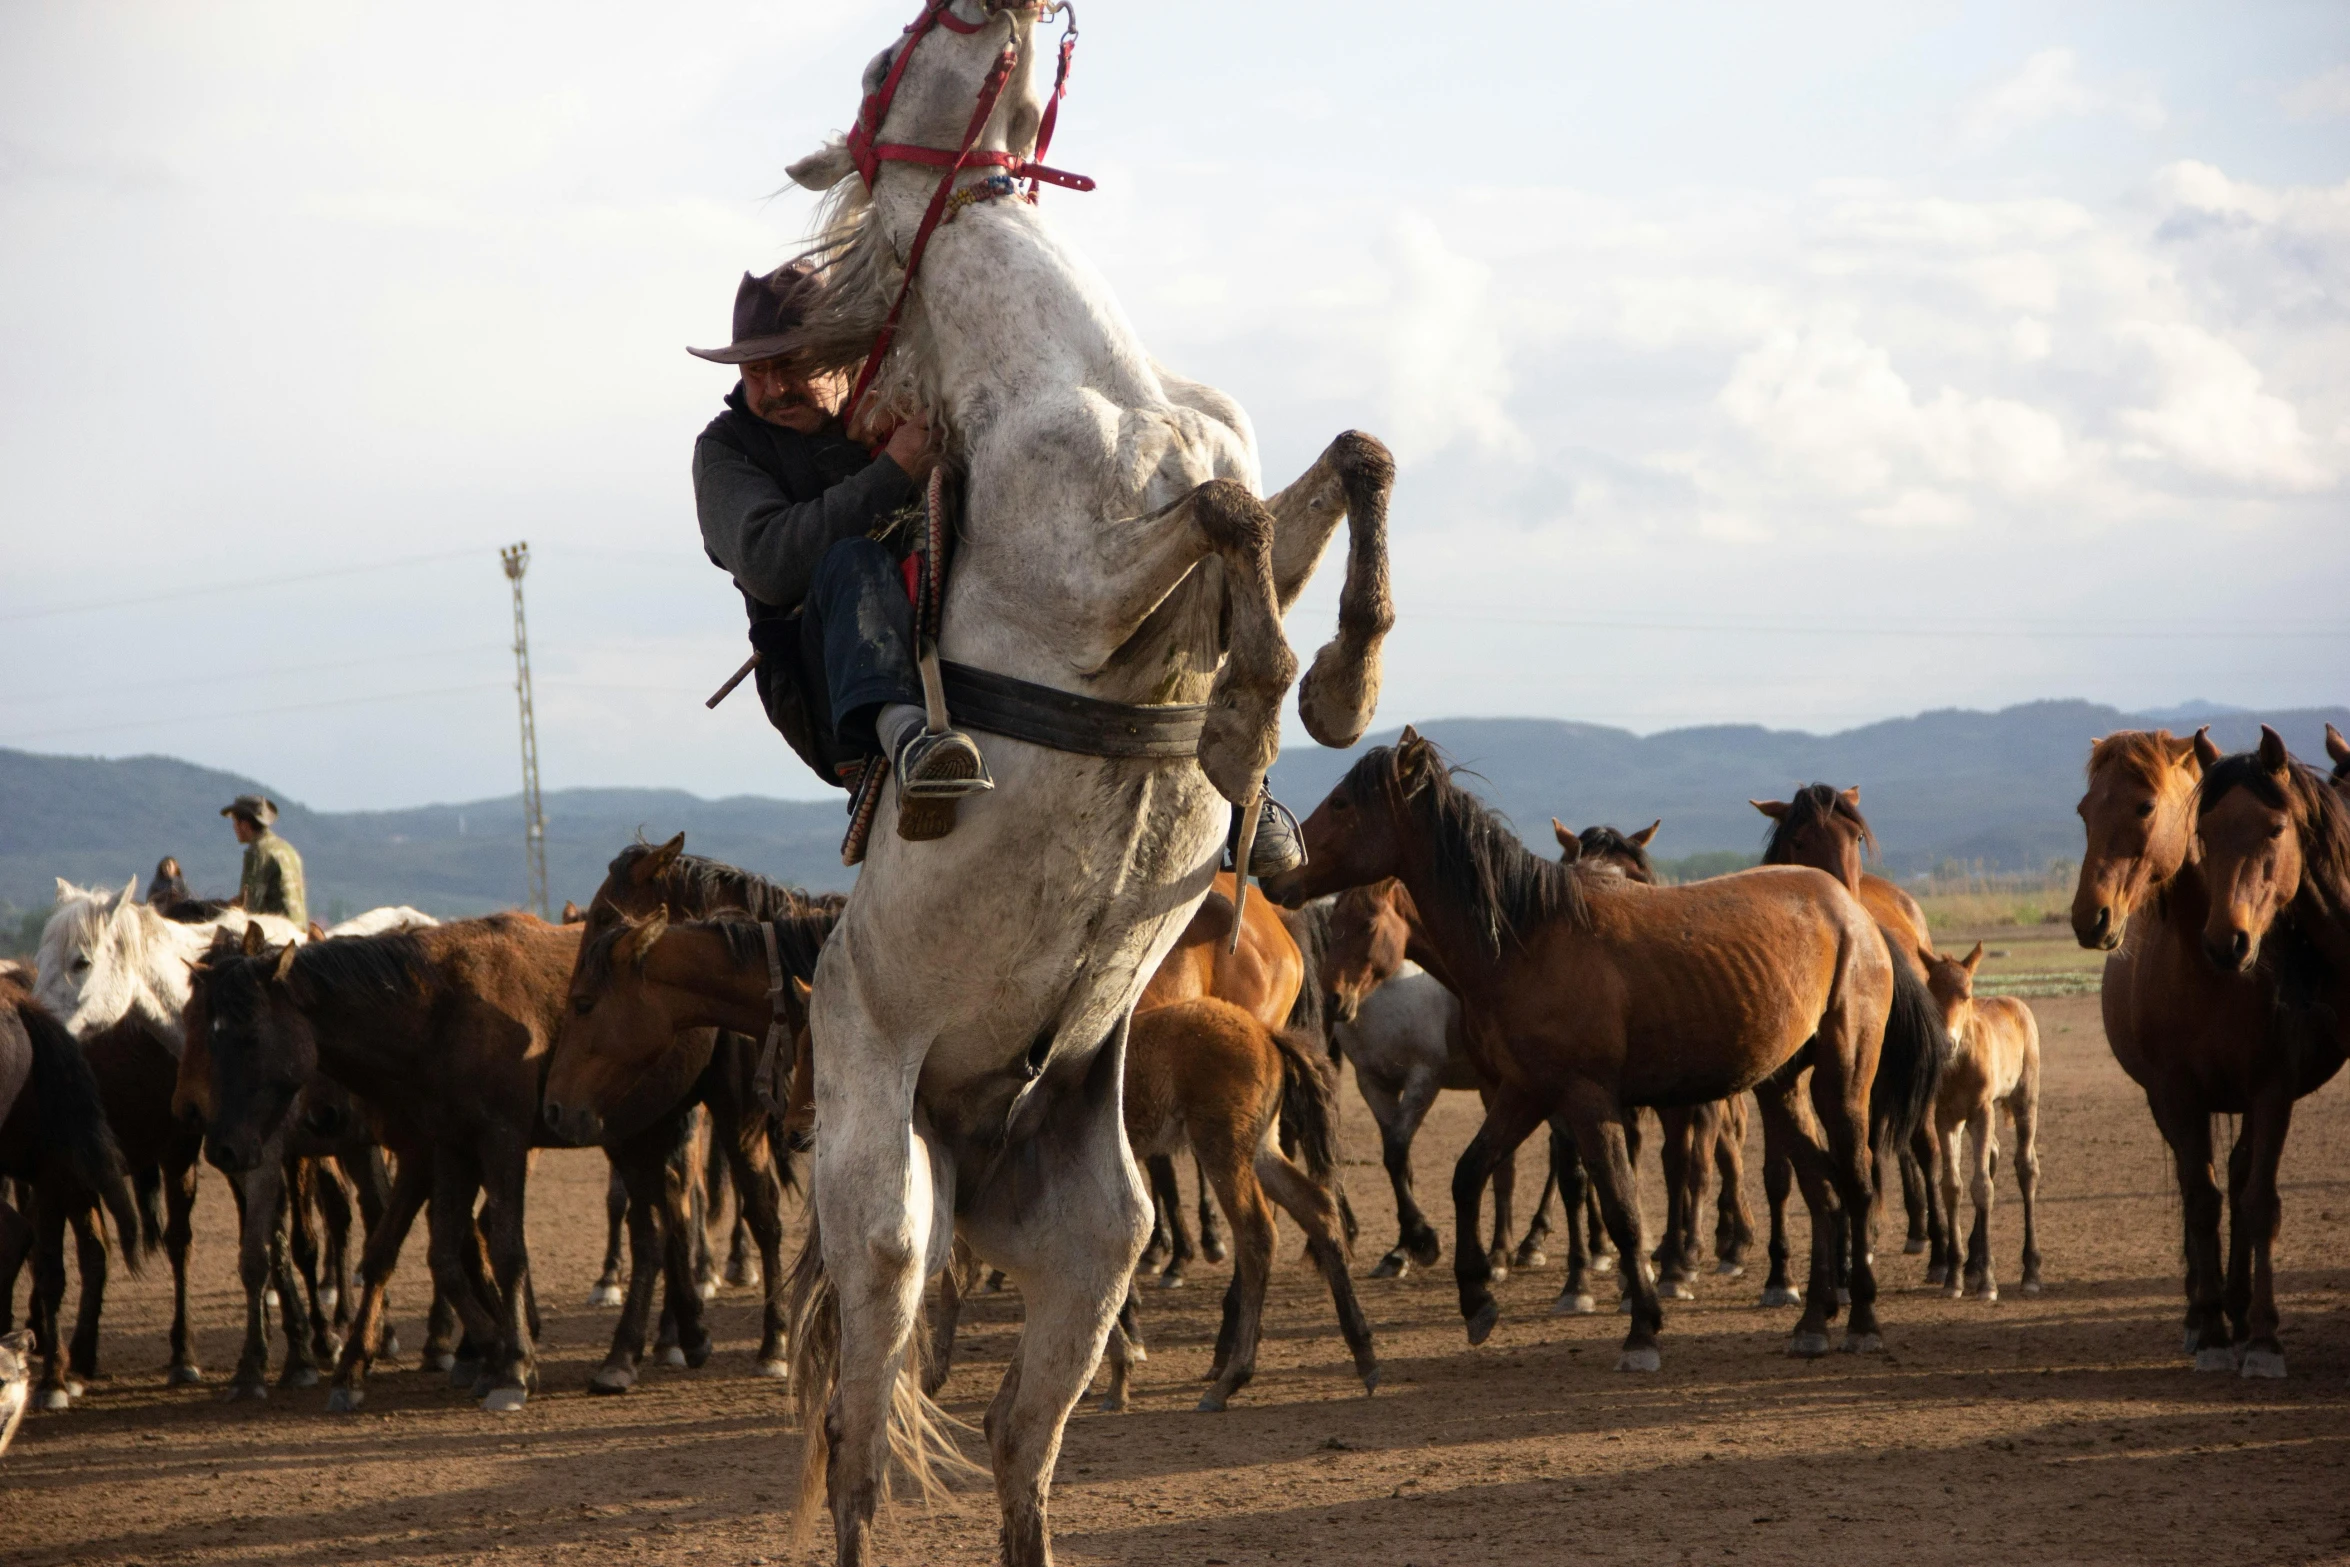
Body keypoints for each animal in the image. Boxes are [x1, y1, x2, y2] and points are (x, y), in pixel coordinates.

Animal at [1099, 1000, 1372, 1418]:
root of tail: (1266, 1034)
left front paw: (1118, 1375)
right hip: (1261, 1149)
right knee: (1319, 1208)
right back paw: (1364, 1354)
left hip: (1223, 1152)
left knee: (1257, 1236)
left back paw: (1229, 1380)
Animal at [1269, 737, 1889, 1372]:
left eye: (1342, 803)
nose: (1276, 876)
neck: (1527, 938)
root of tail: (1847, 906)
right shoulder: (1524, 1092)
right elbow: (1471, 1174)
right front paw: (1477, 1300)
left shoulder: (1587, 1100)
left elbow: (1620, 1207)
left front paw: (1641, 1329)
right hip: (1781, 1087)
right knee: (1822, 1192)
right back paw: (1812, 1321)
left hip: (1842, 1079)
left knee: (1856, 1185)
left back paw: (1860, 1319)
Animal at [2077, 728, 2331, 1381]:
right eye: (2085, 811)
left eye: (2144, 807)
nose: (2090, 918)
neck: (2209, 968)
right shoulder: (2176, 1095)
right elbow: (2200, 1201)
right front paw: (2211, 1331)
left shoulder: (2271, 1092)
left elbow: (2256, 1201)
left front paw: (2262, 1340)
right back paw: (2204, 1315)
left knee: (2240, 1182)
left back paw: (2240, 1309)